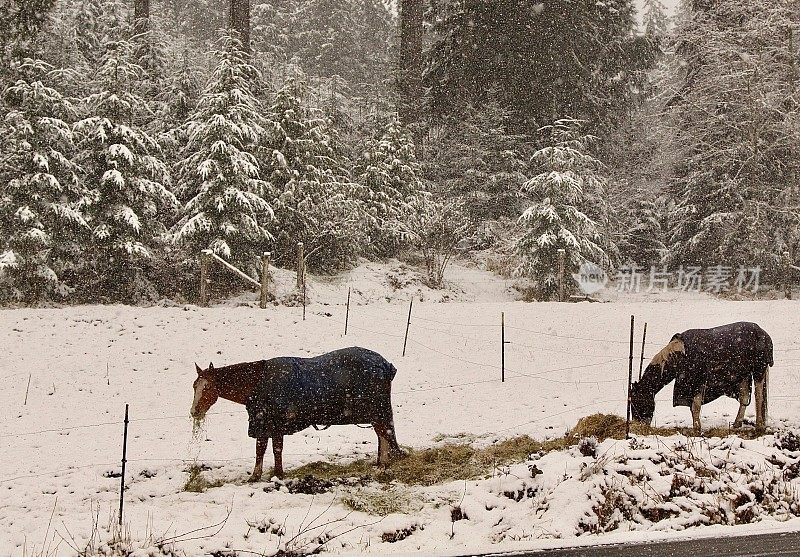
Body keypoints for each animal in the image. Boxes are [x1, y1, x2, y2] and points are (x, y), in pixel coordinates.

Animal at [190, 346, 404, 480]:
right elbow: (261, 449)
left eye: (207, 387)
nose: (194, 411)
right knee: (383, 435)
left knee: (385, 434)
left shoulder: (273, 424)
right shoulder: (263, 424)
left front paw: (278, 474)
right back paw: (381, 464)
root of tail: (385, 365)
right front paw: (256, 476)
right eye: (194, 386)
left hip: (377, 411)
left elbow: (275, 449)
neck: (259, 383)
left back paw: (383, 466)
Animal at [636, 320, 772, 432]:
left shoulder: (698, 383)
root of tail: (764, 333)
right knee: (744, 398)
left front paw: (697, 428)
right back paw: (737, 424)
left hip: (758, 370)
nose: (637, 424)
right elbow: (693, 407)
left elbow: (695, 407)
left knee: (758, 396)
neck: (679, 355)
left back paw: (759, 426)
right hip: (743, 375)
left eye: (638, 400)